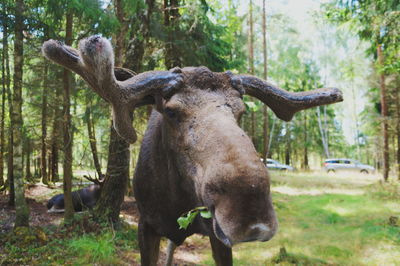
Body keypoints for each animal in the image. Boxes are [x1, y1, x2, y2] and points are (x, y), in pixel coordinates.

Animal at [40, 35, 342, 266]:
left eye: (241, 111)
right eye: (171, 111)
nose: (250, 212)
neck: (177, 201)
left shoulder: (218, 237)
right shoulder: (146, 225)